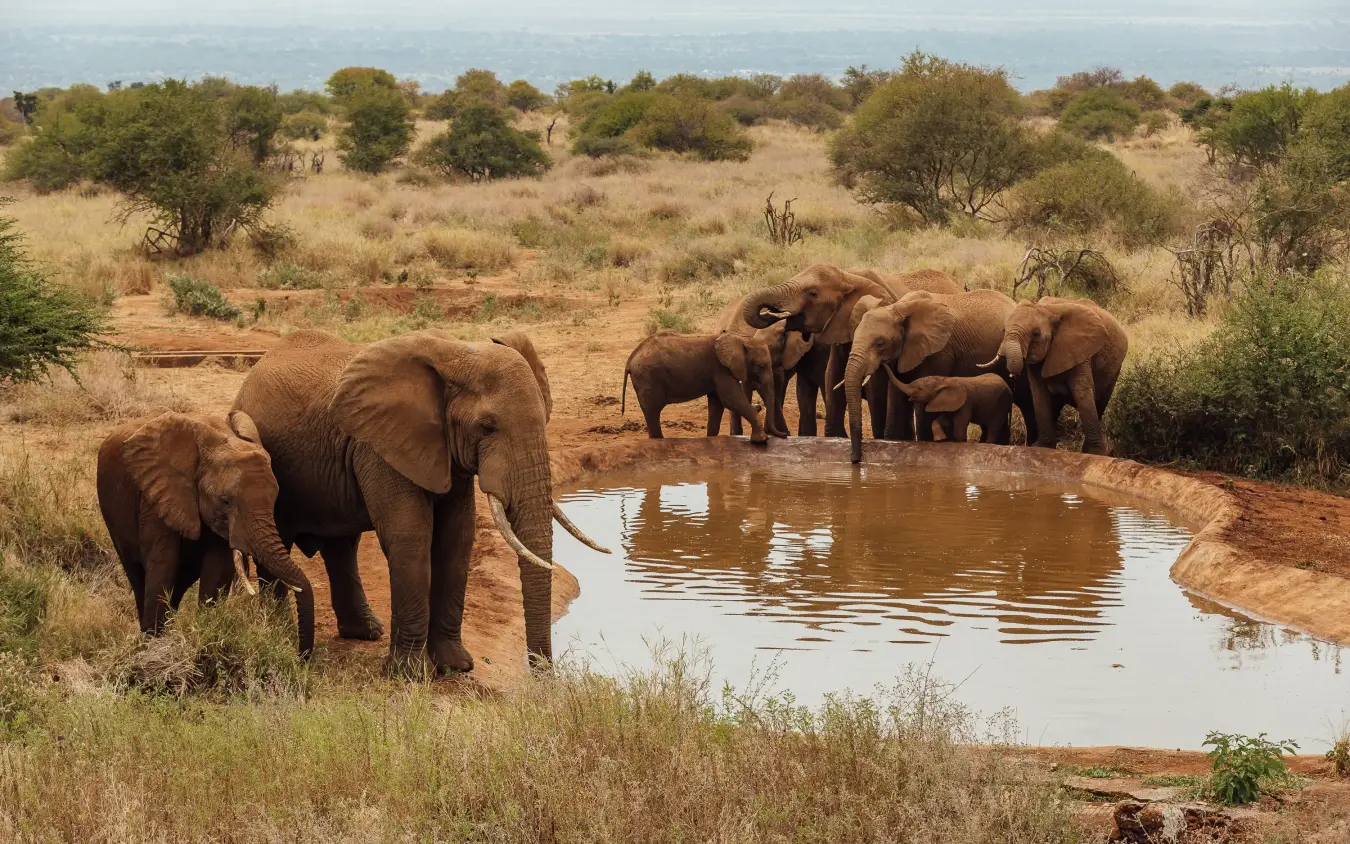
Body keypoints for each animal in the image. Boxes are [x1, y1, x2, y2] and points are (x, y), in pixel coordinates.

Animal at [96, 411, 315, 655]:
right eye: (226, 501)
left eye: (274, 498)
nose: (301, 656)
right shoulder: (157, 496)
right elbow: (163, 564)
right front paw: (151, 646)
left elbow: (217, 569)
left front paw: (204, 635)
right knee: (137, 575)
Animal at [231, 328, 607, 673]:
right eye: (486, 427)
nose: (542, 675)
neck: (456, 353)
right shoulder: (379, 444)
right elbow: (411, 536)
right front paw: (408, 674)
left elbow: (457, 537)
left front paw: (455, 666)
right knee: (283, 539)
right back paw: (278, 631)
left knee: (342, 546)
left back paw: (365, 633)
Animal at [622, 331, 786, 443]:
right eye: (760, 366)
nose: (784, 435)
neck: (741, 339)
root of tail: (630, 359)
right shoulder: (721, 369)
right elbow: (731, 399)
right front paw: (761, 440)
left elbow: (717, 403)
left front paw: (711, 439)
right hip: (648, 377)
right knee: (653, 411)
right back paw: (659, 441)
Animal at [883, 370, 1014, 444]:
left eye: (920, 389)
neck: (942, 380)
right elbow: (944, 419)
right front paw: (940, 439)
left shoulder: (965, 402)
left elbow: (961, 423)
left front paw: (960, 441)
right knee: (986, 425)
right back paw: (982, 443)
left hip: (1002, 403)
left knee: (994, 425)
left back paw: (989, 443)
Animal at [980, 297, 1128, 455]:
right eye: (1004, 330)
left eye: (1036, 333)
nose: (1011, 375)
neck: (1048, 311)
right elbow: (1039, 394)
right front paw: (1041, 447)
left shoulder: (1079, 350)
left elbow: (1082, 393)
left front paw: (1095, 453)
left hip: (1113, 369)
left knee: (1100, 402)